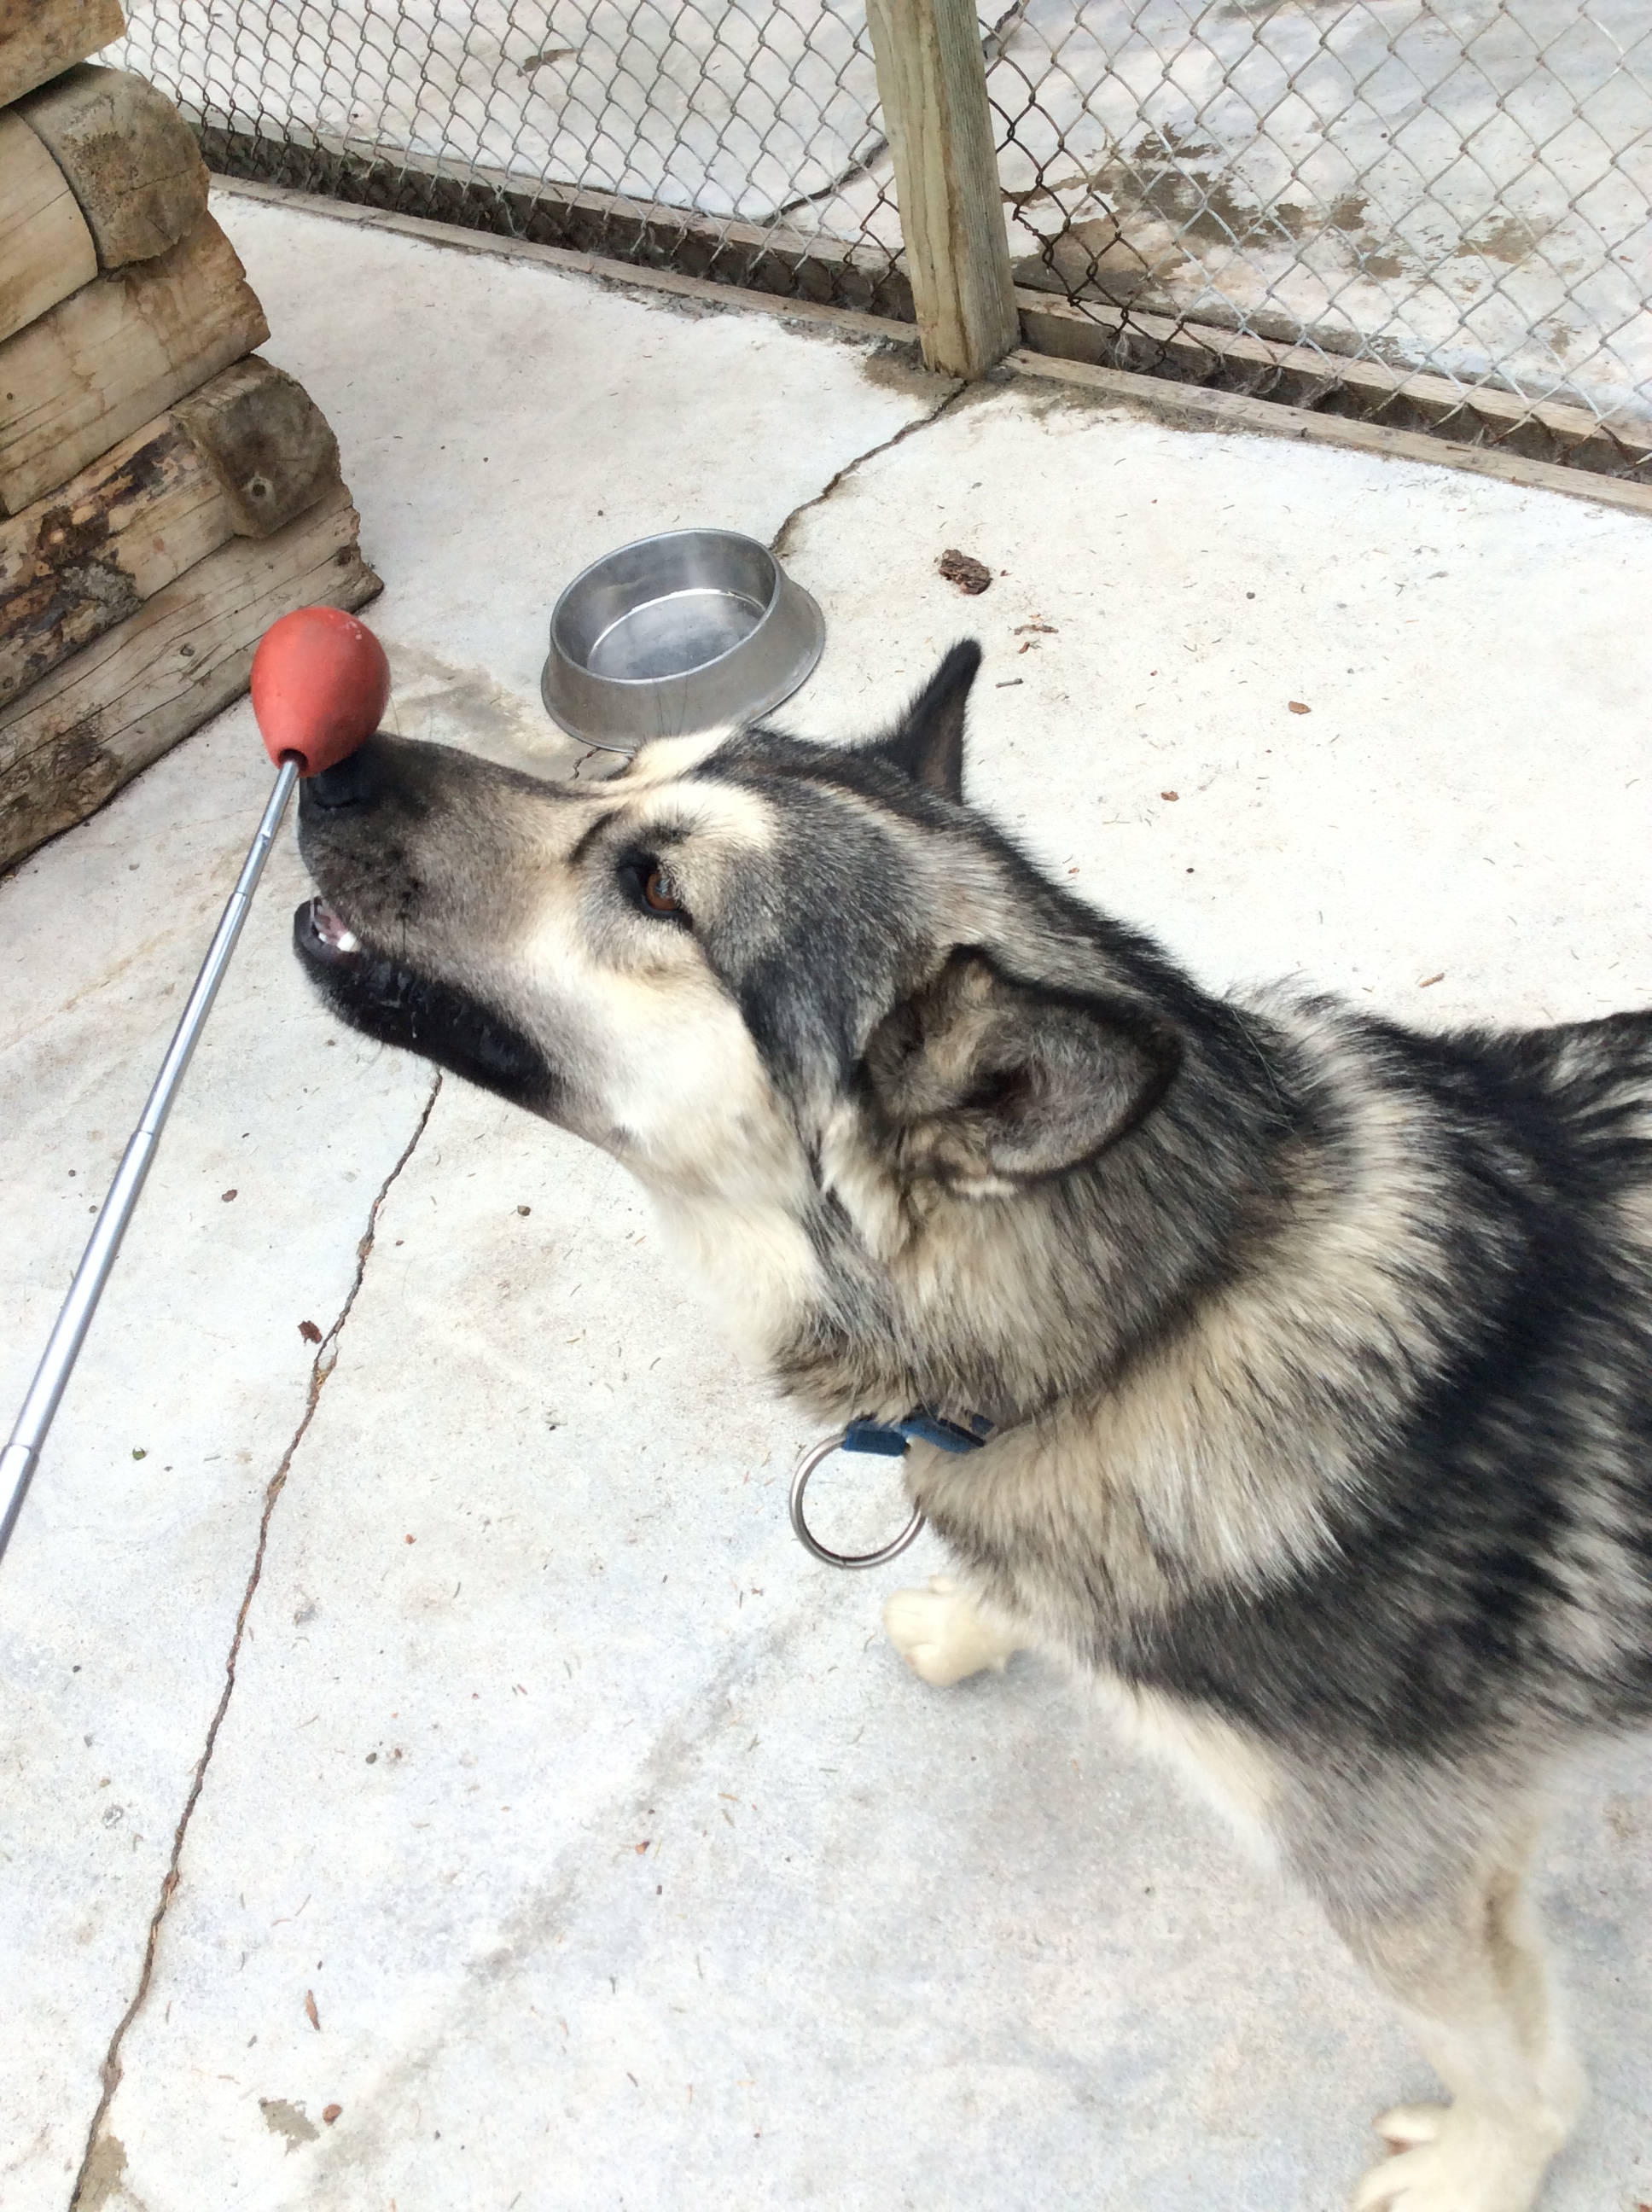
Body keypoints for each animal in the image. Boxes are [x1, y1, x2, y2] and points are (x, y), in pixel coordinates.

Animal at [289, 645, 1645, 2212]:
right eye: (613, 771)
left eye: (653, 886)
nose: (320, 762)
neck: (1153, 1317)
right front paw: (977, 1615)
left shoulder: (1407, 1876)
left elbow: (1508, 2059)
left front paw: (1486, 2164)